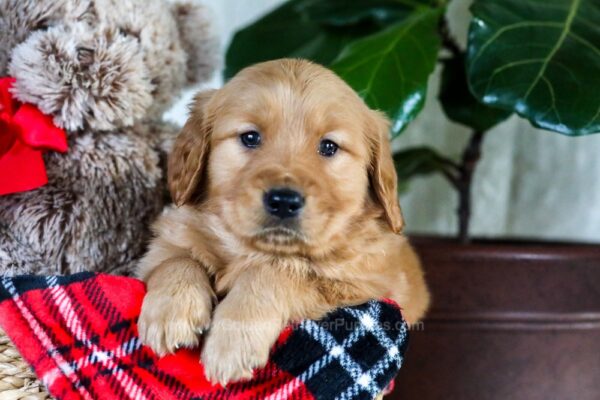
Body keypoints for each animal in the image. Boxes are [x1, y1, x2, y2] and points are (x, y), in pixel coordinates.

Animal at [137, 58, 426, 384]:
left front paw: (233, 341)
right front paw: (171, 311)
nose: (284, 201)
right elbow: (175, 260)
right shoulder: (161, 247)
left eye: (329, 147)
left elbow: (275, 272)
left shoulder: (360, 285)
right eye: (250, 137)